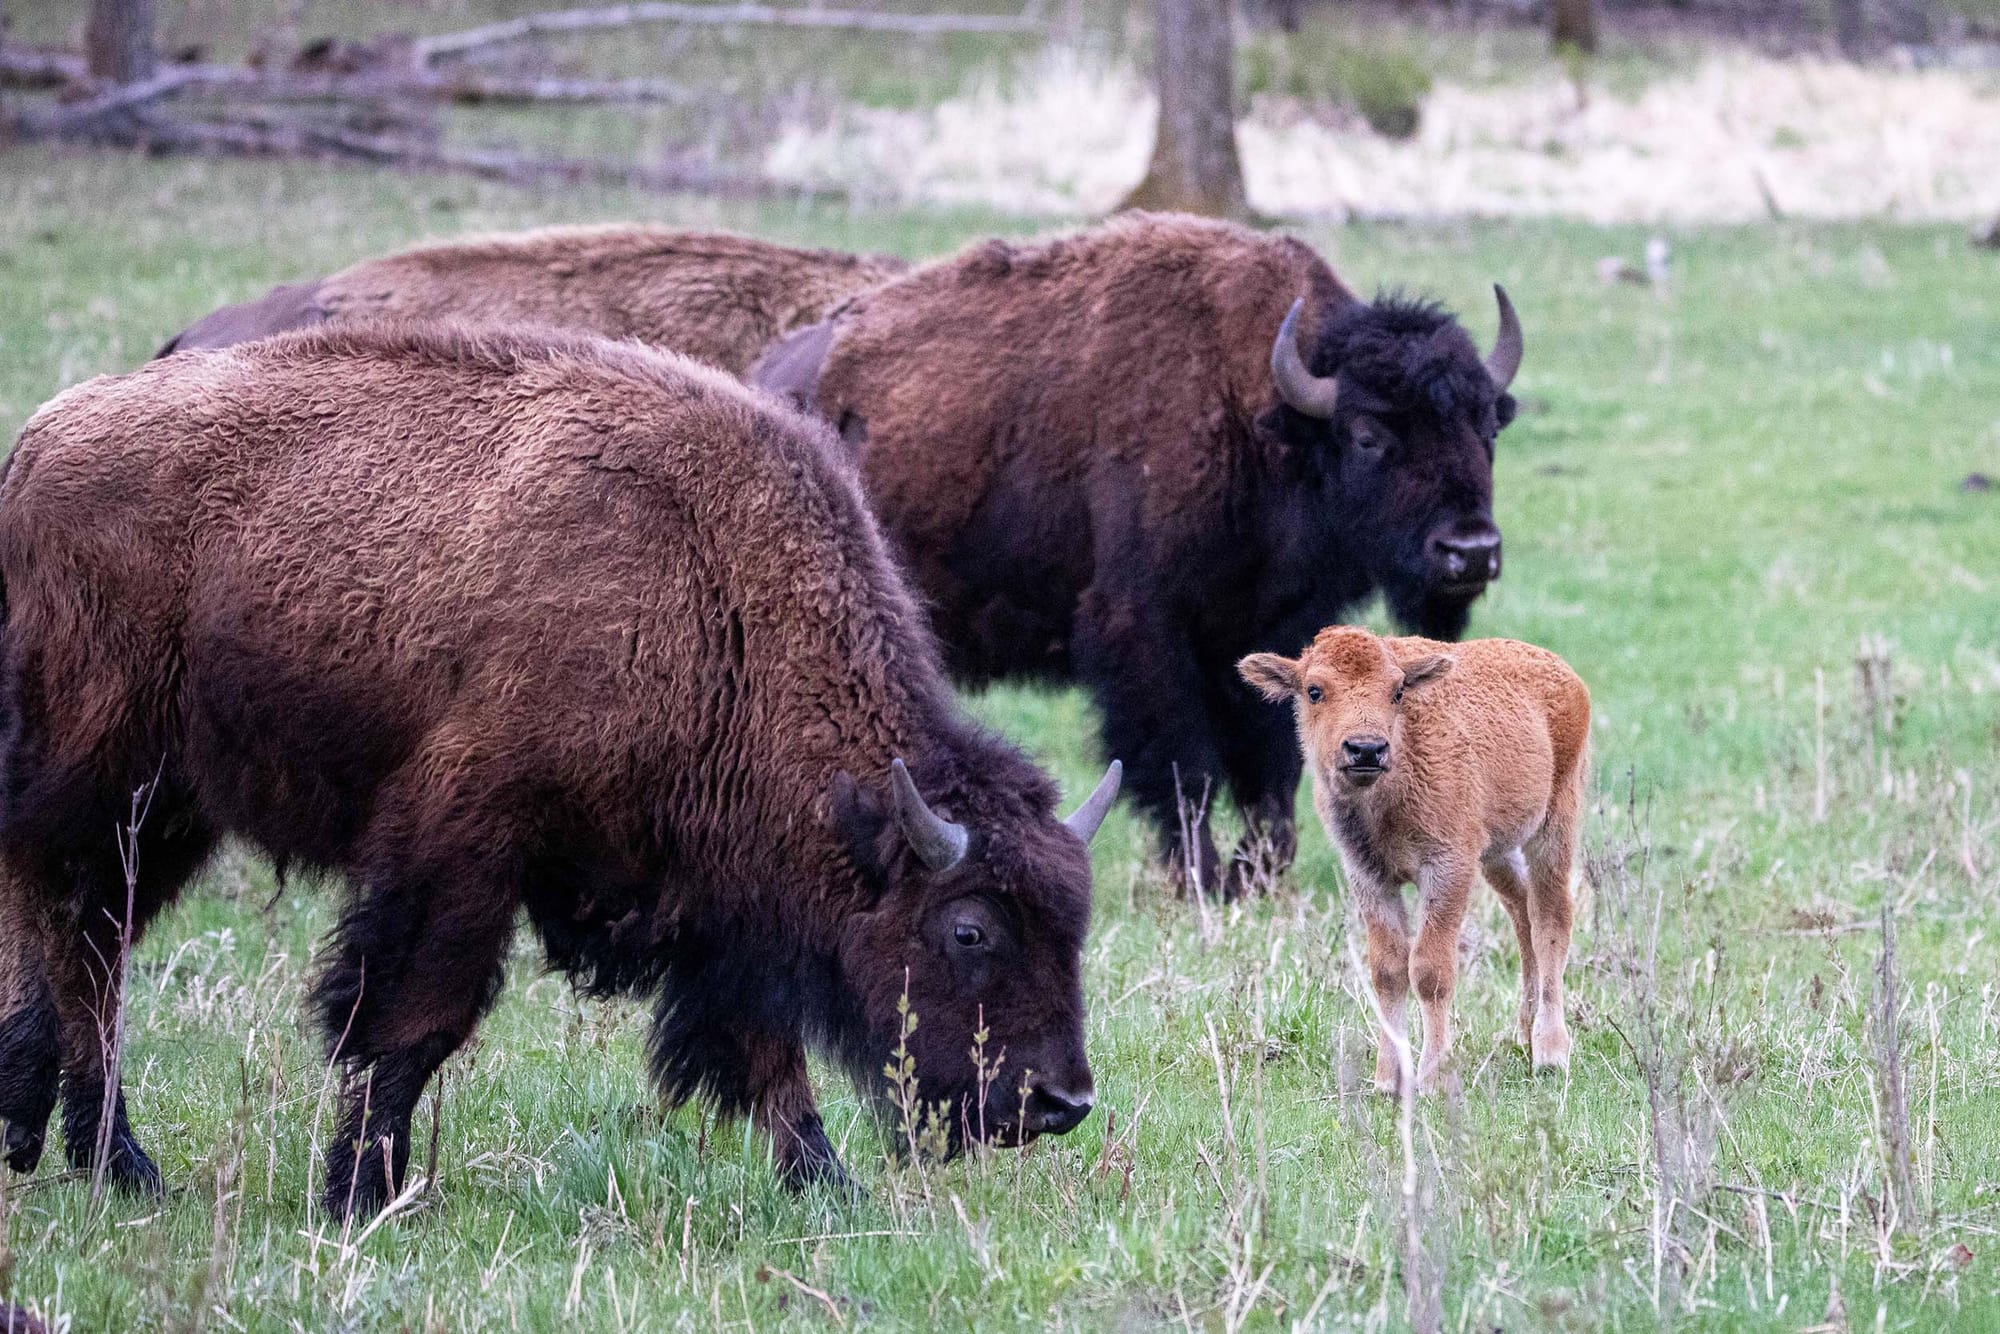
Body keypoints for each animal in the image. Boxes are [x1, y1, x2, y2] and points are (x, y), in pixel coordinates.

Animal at [0, 324, 1120, 1224]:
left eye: (1072, 922)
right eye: (968, 929)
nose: (1061, 1103)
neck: (715, 592)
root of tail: (38, 443)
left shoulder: (718, 897)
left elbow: (764, 1055)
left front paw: (828, 1188)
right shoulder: (466, 843)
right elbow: (413, 1019)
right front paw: (360, 1192)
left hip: (169, 809)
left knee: (81, 940)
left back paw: (39, 1130)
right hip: (110, 780)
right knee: (77, 937)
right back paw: (122, 1163)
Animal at [756, 214, 1520, 896]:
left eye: (1487, 426)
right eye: (1367, 434)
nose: (1470, 551)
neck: (1257, 414)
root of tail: (773, 373)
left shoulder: (1274, 628)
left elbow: (1274, 761)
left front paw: (1256, 873)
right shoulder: (1146, 630)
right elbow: (1184, 764)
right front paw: (1204, 880)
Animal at [1240, 632, 1584, 1088]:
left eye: (1398, 690)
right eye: (1314, 690)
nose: (1366, 749)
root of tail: (1563, 672)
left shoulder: (1447, 867)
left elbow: (1429, 971)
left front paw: (1433, 1077)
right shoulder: (1369, 876)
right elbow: (1388, 971)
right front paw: (1388, 1079)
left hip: (1553, 828)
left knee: (1550, 921)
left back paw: (1550, 1052)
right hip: (1498, 853)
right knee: (1522, 914)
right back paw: (1523, 1035)